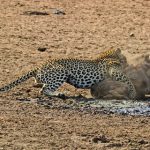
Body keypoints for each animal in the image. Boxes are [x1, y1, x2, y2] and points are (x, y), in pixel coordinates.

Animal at [0, 48, 136, 99]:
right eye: (125, 58)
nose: (127, 62)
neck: (109, 55)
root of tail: (38, 67)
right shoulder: (114, 72)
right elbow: (128, 79)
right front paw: (133, 92)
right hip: (61, 72)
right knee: (43, 90)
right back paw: (59, 94)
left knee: (40, 86)